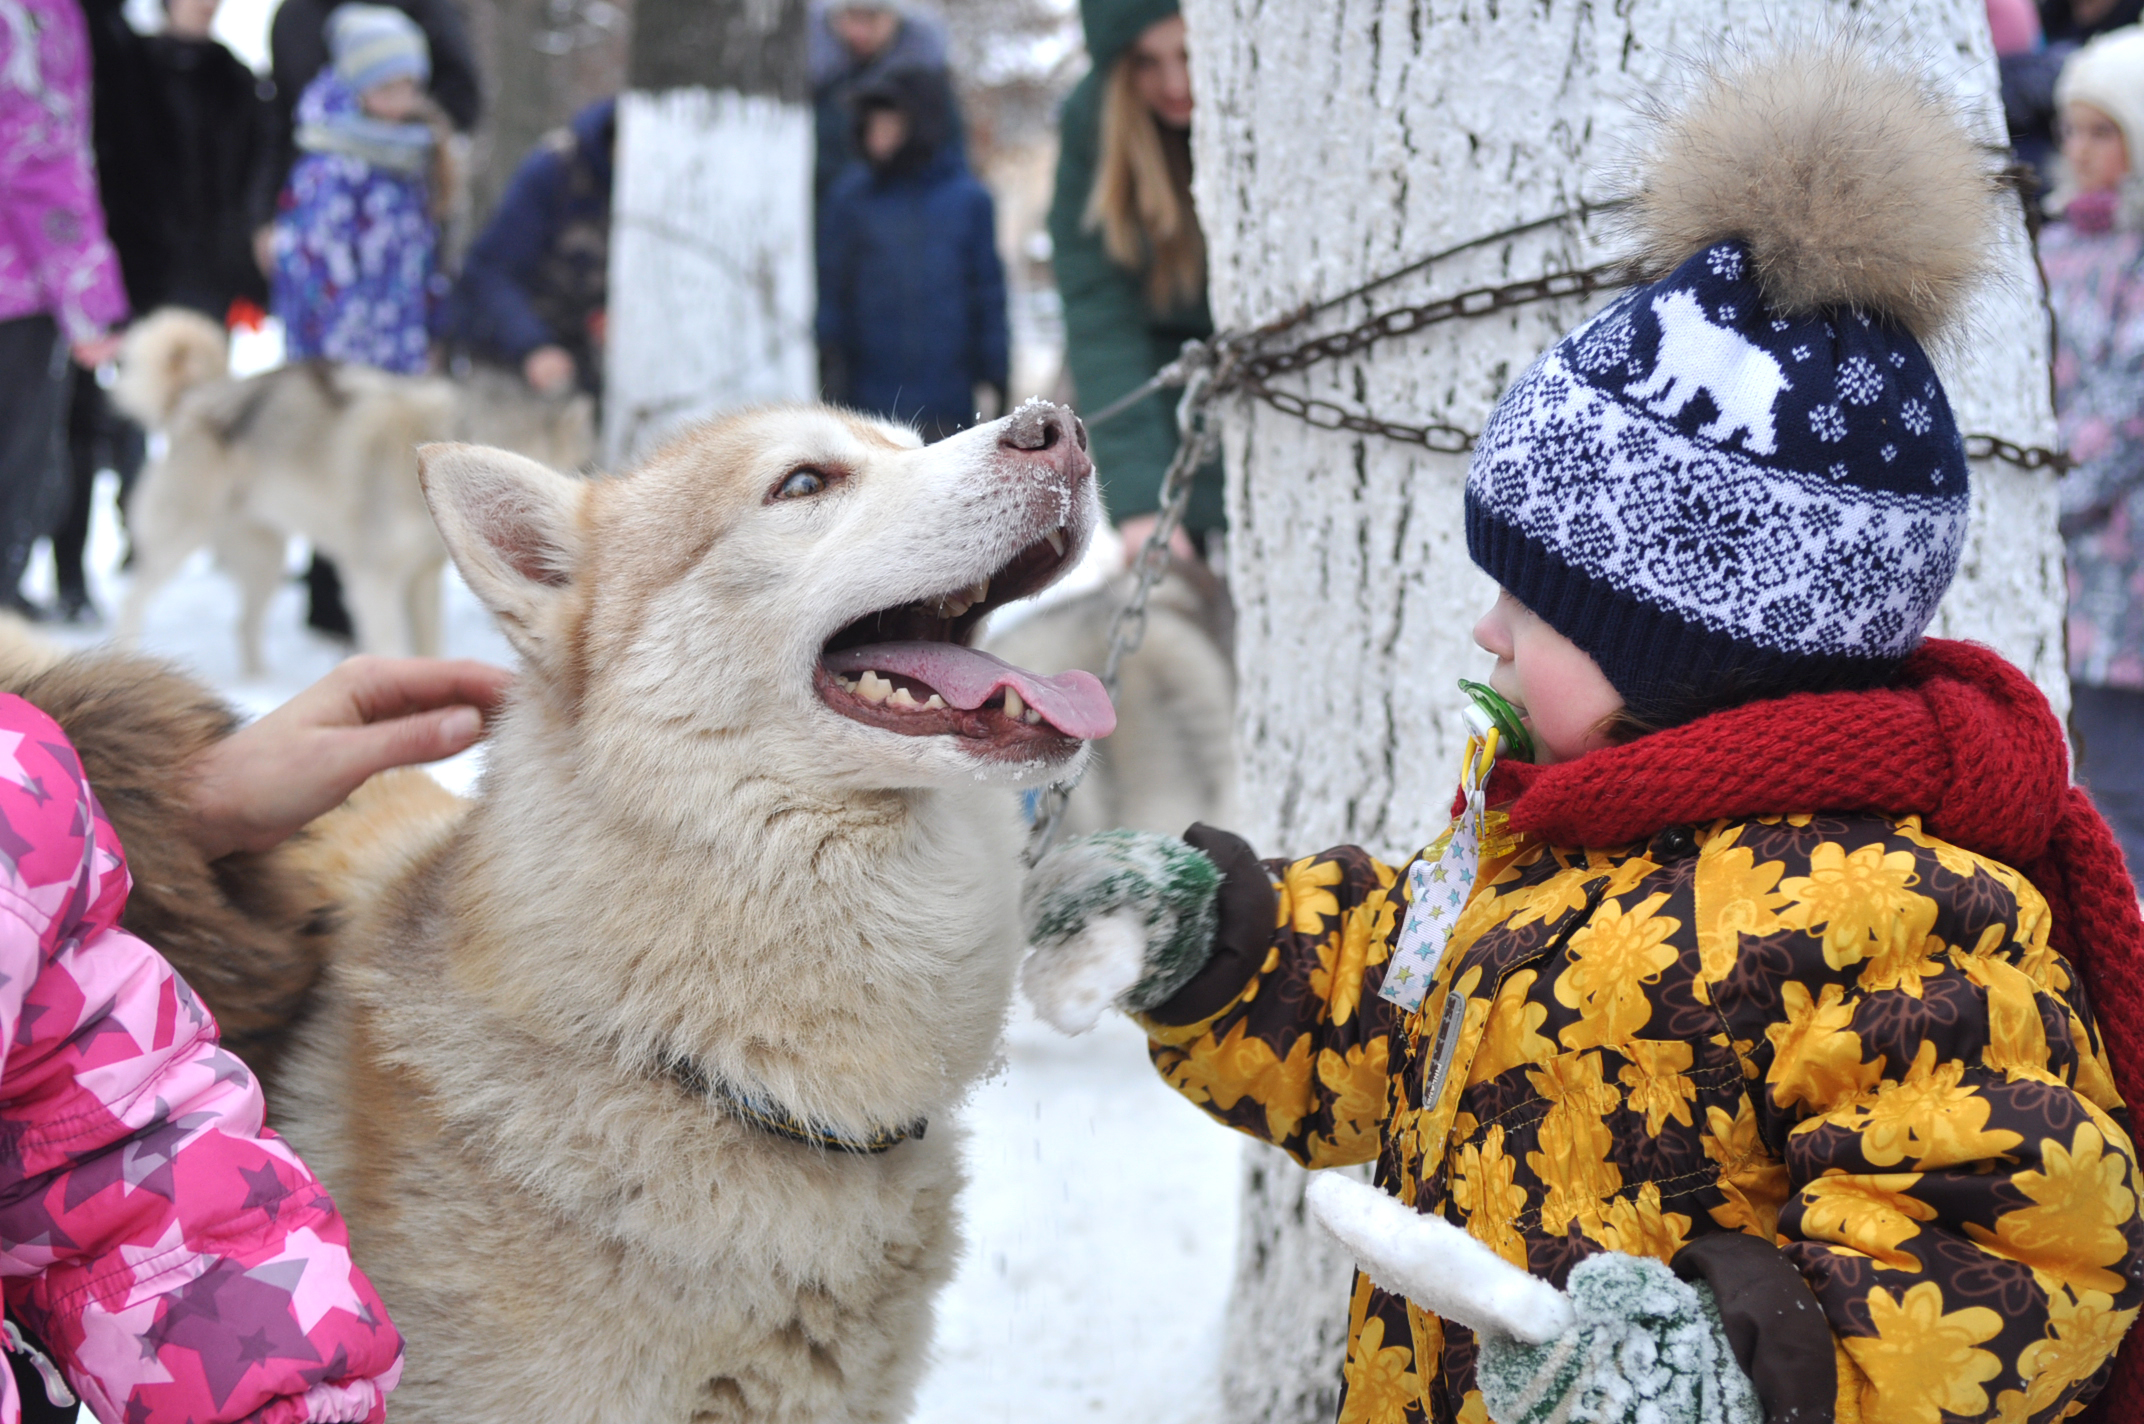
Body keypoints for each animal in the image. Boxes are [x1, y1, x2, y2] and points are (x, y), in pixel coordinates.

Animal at [117, 308, 596, 677]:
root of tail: (193, 398)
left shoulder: (422, 579)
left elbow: (430, 648)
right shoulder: (373, 578)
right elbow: (392, 648)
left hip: (265, 562)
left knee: (243, 624)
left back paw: (259, 680)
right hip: (180, 542)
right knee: (135, 599)